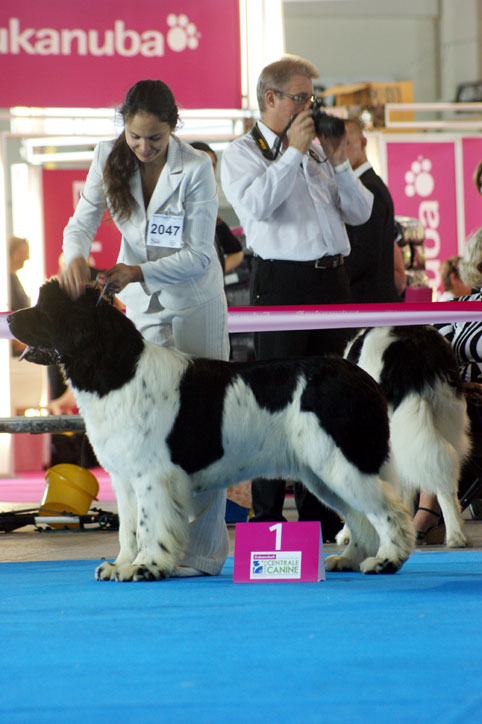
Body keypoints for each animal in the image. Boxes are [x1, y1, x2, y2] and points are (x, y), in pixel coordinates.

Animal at [6, 280, 414, 580]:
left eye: (46, 307)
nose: (9, 319)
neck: (115, 370)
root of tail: (361, 377)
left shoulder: (152, 476)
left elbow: (150, 523)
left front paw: (146, 567)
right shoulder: (123, 478)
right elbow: (128, 528)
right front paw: (120, 564)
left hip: (342, 462)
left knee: (389, 512)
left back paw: (386, 561)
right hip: (323, 473)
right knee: (361, 517)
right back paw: (349, 559)